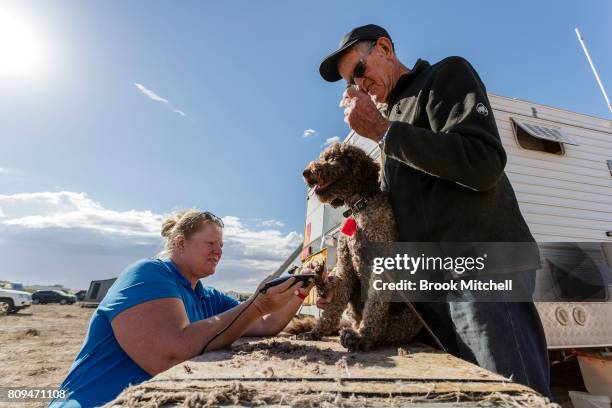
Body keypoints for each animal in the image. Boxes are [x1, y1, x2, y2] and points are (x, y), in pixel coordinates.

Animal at [300, 143, 420, 350]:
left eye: (331, 158)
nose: (306, 172)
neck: (360, 208)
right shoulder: (346, 266)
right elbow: (334, 306)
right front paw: (317, 331)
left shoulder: (382, 265)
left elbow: (375, 306)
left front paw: (363, 336)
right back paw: (320, 280)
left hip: (408, 316)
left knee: (390, 331)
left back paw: (357, 335)